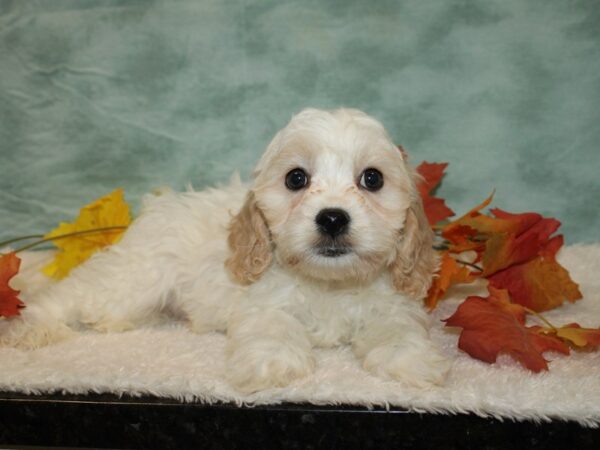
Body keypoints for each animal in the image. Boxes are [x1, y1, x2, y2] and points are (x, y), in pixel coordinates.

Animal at [1, 108, 450, 390]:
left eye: (372, 179)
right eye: (296, 178)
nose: (333, 219)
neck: (329, 284)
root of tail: (160, 205)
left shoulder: (394, 303)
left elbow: (399, 329)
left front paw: (411, 362)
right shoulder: (263, 302)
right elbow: (272, 327)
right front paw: (276, 364)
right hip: (133, 279)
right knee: (70, 295)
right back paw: (34, 328)